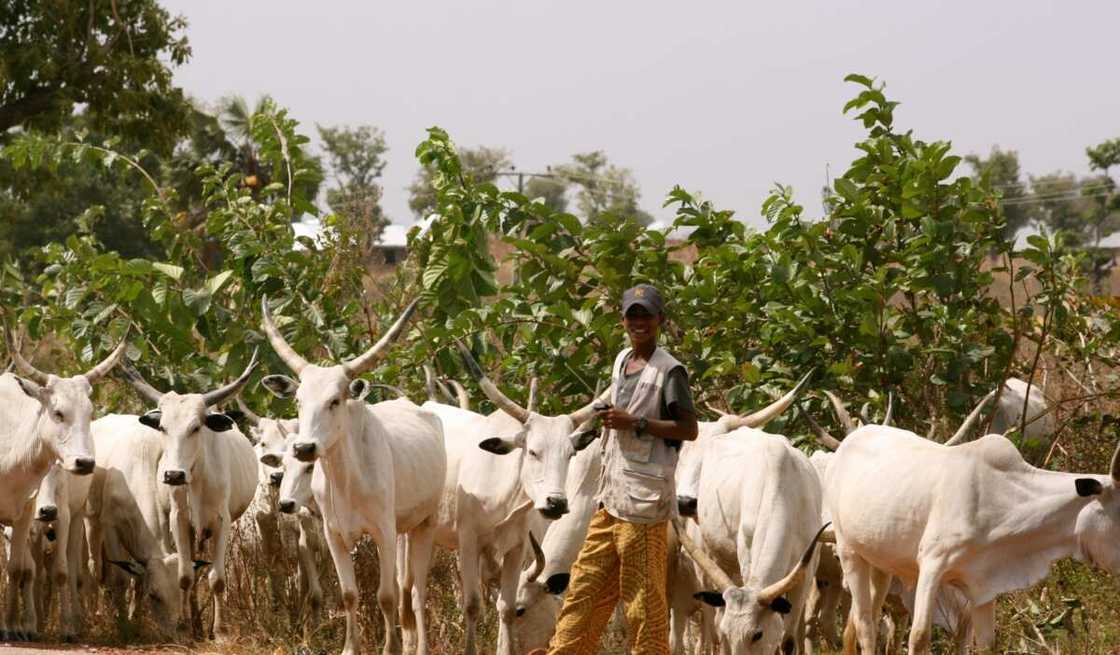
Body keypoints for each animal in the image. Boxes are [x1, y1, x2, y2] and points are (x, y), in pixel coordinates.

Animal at [118, 351, 257, 640]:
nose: (173, 475)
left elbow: (217, 579)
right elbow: (184, 577)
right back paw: (195, 624)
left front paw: (220, 632)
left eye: (196, 428)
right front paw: (184, 625)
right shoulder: (179, 519)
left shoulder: (223, 522)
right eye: (162, 427)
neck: (197, 478)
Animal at [257, 297, 441, 653]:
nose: (304, 447)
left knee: (414, 592)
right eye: (298, 400)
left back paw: (419, 645)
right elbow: (349, 594)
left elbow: (386, 596)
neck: (345, 480)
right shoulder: (334, 535)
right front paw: (350, 647)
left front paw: (390, 648)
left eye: (335, 400)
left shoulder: (383, 531)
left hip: (423, 525)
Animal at [828, 423, 1120, 653]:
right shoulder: (932, 565)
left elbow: (987, 644)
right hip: (848, 551)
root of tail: (848, 443)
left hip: (881, 566)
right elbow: (919, 636)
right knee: (866, 625)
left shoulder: (983, 588)